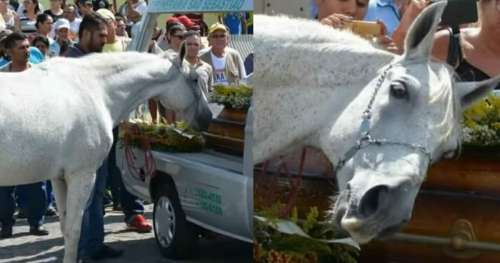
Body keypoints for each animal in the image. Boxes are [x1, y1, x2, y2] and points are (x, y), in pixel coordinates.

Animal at [0, 50, 212, 262]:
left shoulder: (59, 178)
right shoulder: (81, 175)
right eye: (194, 79)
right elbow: (73, 231)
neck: (95, 89)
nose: (207, 118)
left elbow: (65, 227)